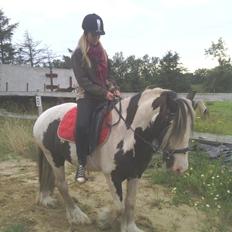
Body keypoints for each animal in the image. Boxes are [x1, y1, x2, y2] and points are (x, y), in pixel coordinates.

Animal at [33, 87, 195, 232]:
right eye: (170, 122)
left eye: (191, 126)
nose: (180, 167)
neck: (127, 134)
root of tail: (43, 115)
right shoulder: (112, 176)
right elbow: (119, 207)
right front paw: (104, 220)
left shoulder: (135, 174)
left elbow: (130, 203)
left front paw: (130, 228)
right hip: (53, 157)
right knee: (62, 185)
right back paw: (76, 215)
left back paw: (47, 199)